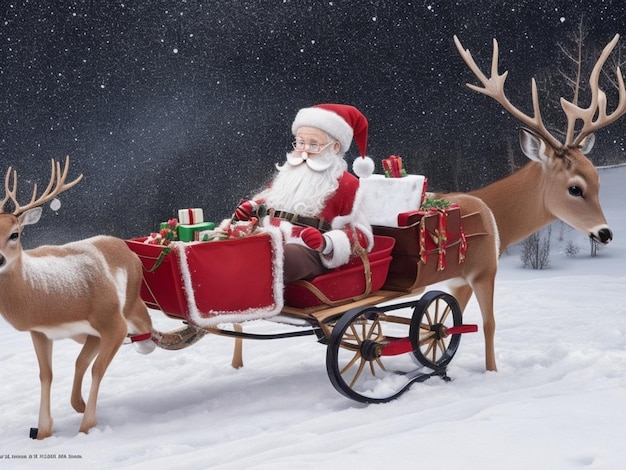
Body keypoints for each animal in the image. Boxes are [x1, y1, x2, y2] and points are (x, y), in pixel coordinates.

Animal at [0, 156, 156, 438]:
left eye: (15, 233)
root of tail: (124, 245)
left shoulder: (113, 322)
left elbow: (98, 368)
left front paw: (86, 427)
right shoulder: (40, 332)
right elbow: (46, 374)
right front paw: (44, 431)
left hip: (131, 306)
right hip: (86, 333)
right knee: (80, 361)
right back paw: (78, 403)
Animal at [438, 34, 624, 370]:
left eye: (599, 182)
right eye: (575, 188)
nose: (605, 233)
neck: (492, 215)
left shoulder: (458, 282)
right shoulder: (478, 274)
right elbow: (485, 325)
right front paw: (492, 371)